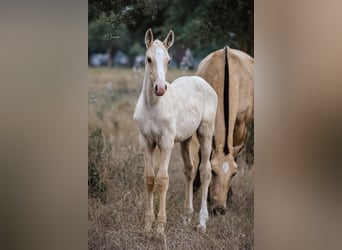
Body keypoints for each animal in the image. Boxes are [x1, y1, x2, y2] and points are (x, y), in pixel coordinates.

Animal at [132, 29, 218, 234]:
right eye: (148, 59)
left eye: (169, 60)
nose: (160, 88)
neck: (153, 106)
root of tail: (203, 81)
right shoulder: (145, 142)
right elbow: (149, 178)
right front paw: (147, 225)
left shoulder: (166, 142)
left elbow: (162, 179)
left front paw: (159, 227)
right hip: (185, 139)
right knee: (189, 170)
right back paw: (187, 216)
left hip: (205, 132)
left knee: (205, 171)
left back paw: (202, 222)